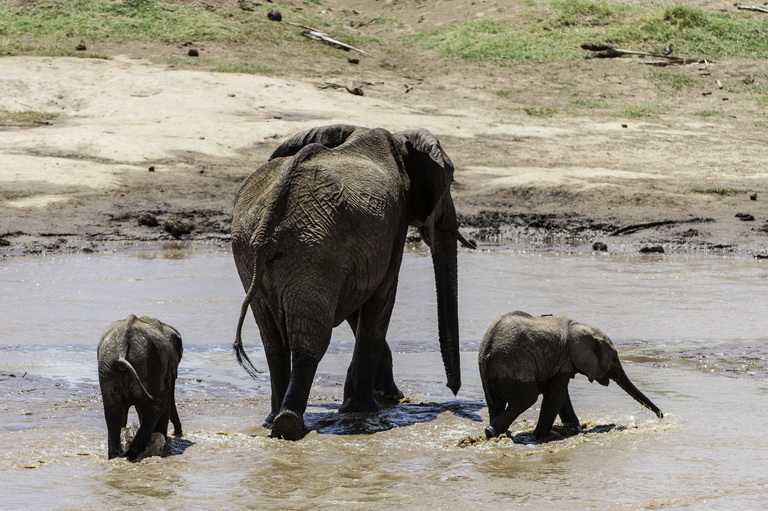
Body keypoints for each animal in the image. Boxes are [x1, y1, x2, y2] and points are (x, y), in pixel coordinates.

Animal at [97, 314, 183, 462]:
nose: (178, 433)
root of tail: (121, 350)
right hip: (149, 365)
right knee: (157, 406)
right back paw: (132, 453)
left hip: (108, 369)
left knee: (113, 410)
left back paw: (118, 455)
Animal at [228, 126, 474, 442]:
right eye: (451, 182)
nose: (453, 390)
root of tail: (266, 224)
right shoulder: (395, 225)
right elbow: (380, 299)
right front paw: (367, 408)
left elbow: (359, 305)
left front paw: (383, 399)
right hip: (313, 251)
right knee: (311, 339)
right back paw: (289, 424)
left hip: (249, 251)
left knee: (273, 341)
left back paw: (273, 420)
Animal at [476, 310, 664, 442]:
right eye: (613, 358)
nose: (661, 416)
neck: (581, 326)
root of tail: (488, 349)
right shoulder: (564, 359)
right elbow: (556, 396)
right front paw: (541, 437)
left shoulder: (560, 362)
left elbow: (561, 396)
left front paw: (575, 429)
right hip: (516, 365)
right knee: (525, 399)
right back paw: (491, 432)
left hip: (488, 372)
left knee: (495, 402)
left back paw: (496, 433)